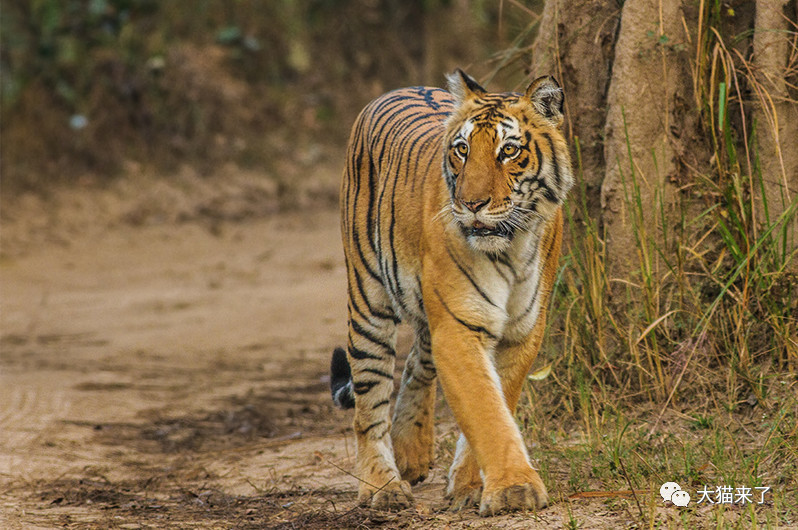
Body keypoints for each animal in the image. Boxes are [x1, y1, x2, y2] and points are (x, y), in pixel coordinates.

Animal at [332, 68, 576, 512]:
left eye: (509, 150)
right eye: (462, 150)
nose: (472, 203)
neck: (511, 247)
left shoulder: (522, 331)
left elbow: (499, 402)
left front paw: (470, 485)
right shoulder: (459, 328)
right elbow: (485, 410)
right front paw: (514, 488)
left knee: (416, 363)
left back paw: (411, 453)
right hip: (368, 299)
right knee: (369, 403)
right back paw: (382, 486)